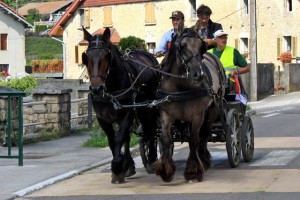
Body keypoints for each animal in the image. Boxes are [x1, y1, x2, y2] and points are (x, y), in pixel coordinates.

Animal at [81, 27, 158, 184]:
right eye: (87, 56)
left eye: (106, 55)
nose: (96, 89)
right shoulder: (103, 119)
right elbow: (113, 140)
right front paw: (122, 167)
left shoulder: (127, 114)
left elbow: (118, 139)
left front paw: (117, 167)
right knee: (133, 135)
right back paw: (129, 165)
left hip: (149, 107)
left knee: (151, 129)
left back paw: (151, 159)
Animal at [155, 28, 225, 183]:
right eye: (182, 46)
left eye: (201, 46)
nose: (198, 74)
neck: (180, 87)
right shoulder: (165, 114)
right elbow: (166, 139)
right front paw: (166, 170)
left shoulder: (197, 115)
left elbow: (194, 140)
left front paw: (192, 170)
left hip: (212, 110)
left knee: (204, 134)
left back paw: (204, 159)